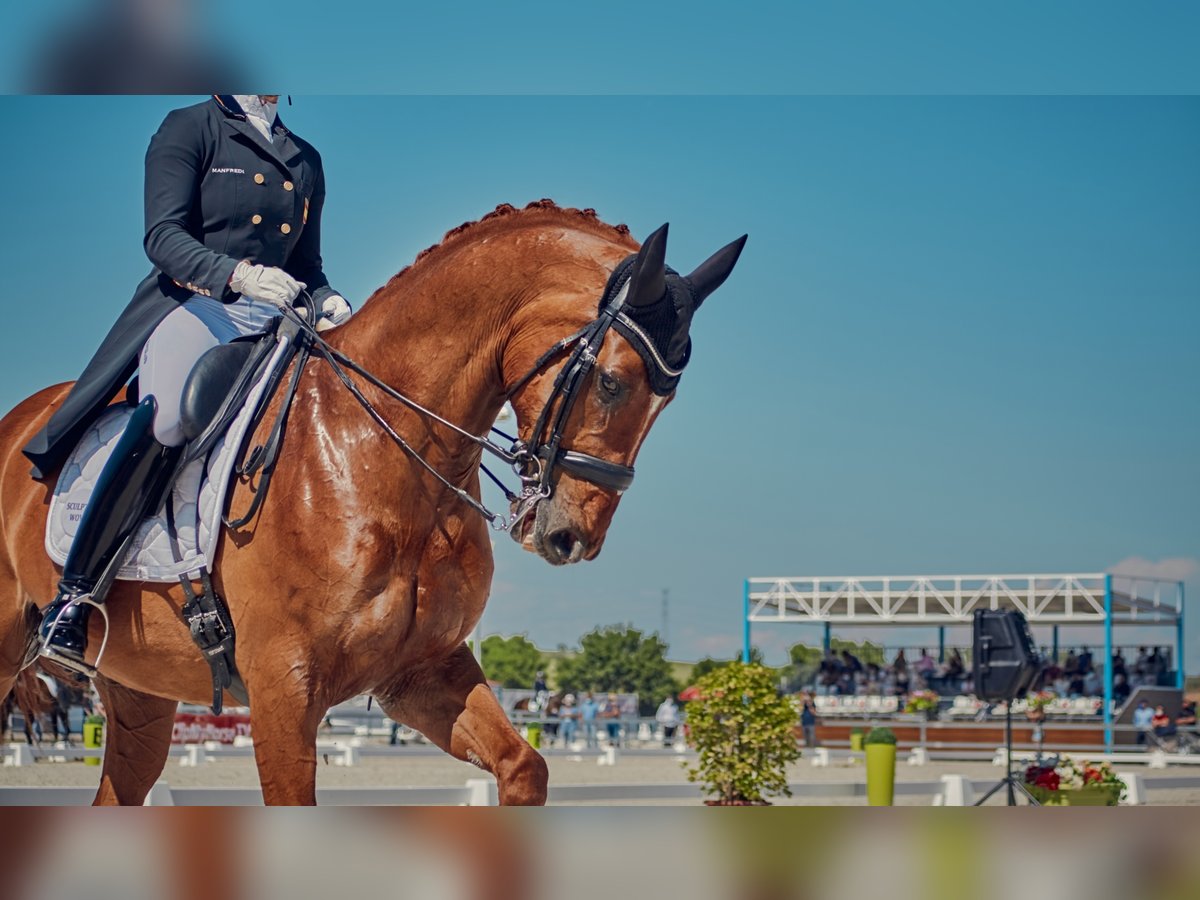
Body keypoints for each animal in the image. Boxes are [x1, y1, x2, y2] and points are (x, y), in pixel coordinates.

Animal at [0, 200, 739, 806]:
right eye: (612, 383)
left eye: (665, 400)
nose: (571, 538)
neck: (381, 453)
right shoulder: (282, 690)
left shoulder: (420, 671)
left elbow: (523, 767)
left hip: (138, 690)